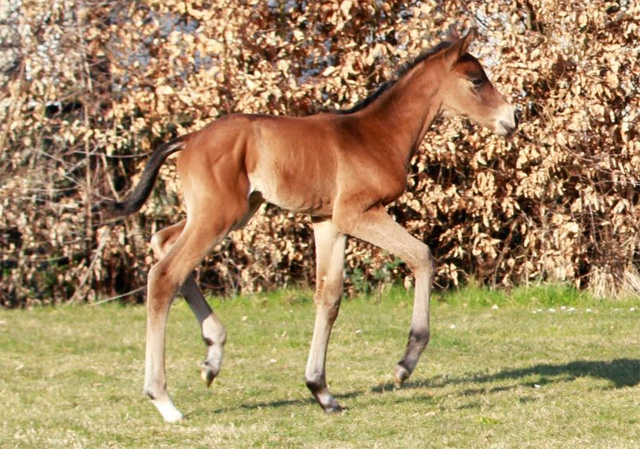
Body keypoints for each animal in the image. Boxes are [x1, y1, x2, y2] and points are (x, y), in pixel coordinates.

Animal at [102, 30, 516, 420]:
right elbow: (422, 256)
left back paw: (212, 356)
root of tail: (188, 139)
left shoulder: (328, 222)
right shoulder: (358, 213)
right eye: (476, 80)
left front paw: (322, 391)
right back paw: (164, 399)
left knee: (162, 240)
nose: (511, 119)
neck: (377, 134)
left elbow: (328, 297)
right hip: (218, 215)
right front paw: (404, 365)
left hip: (230, 213)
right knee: (165, 274)